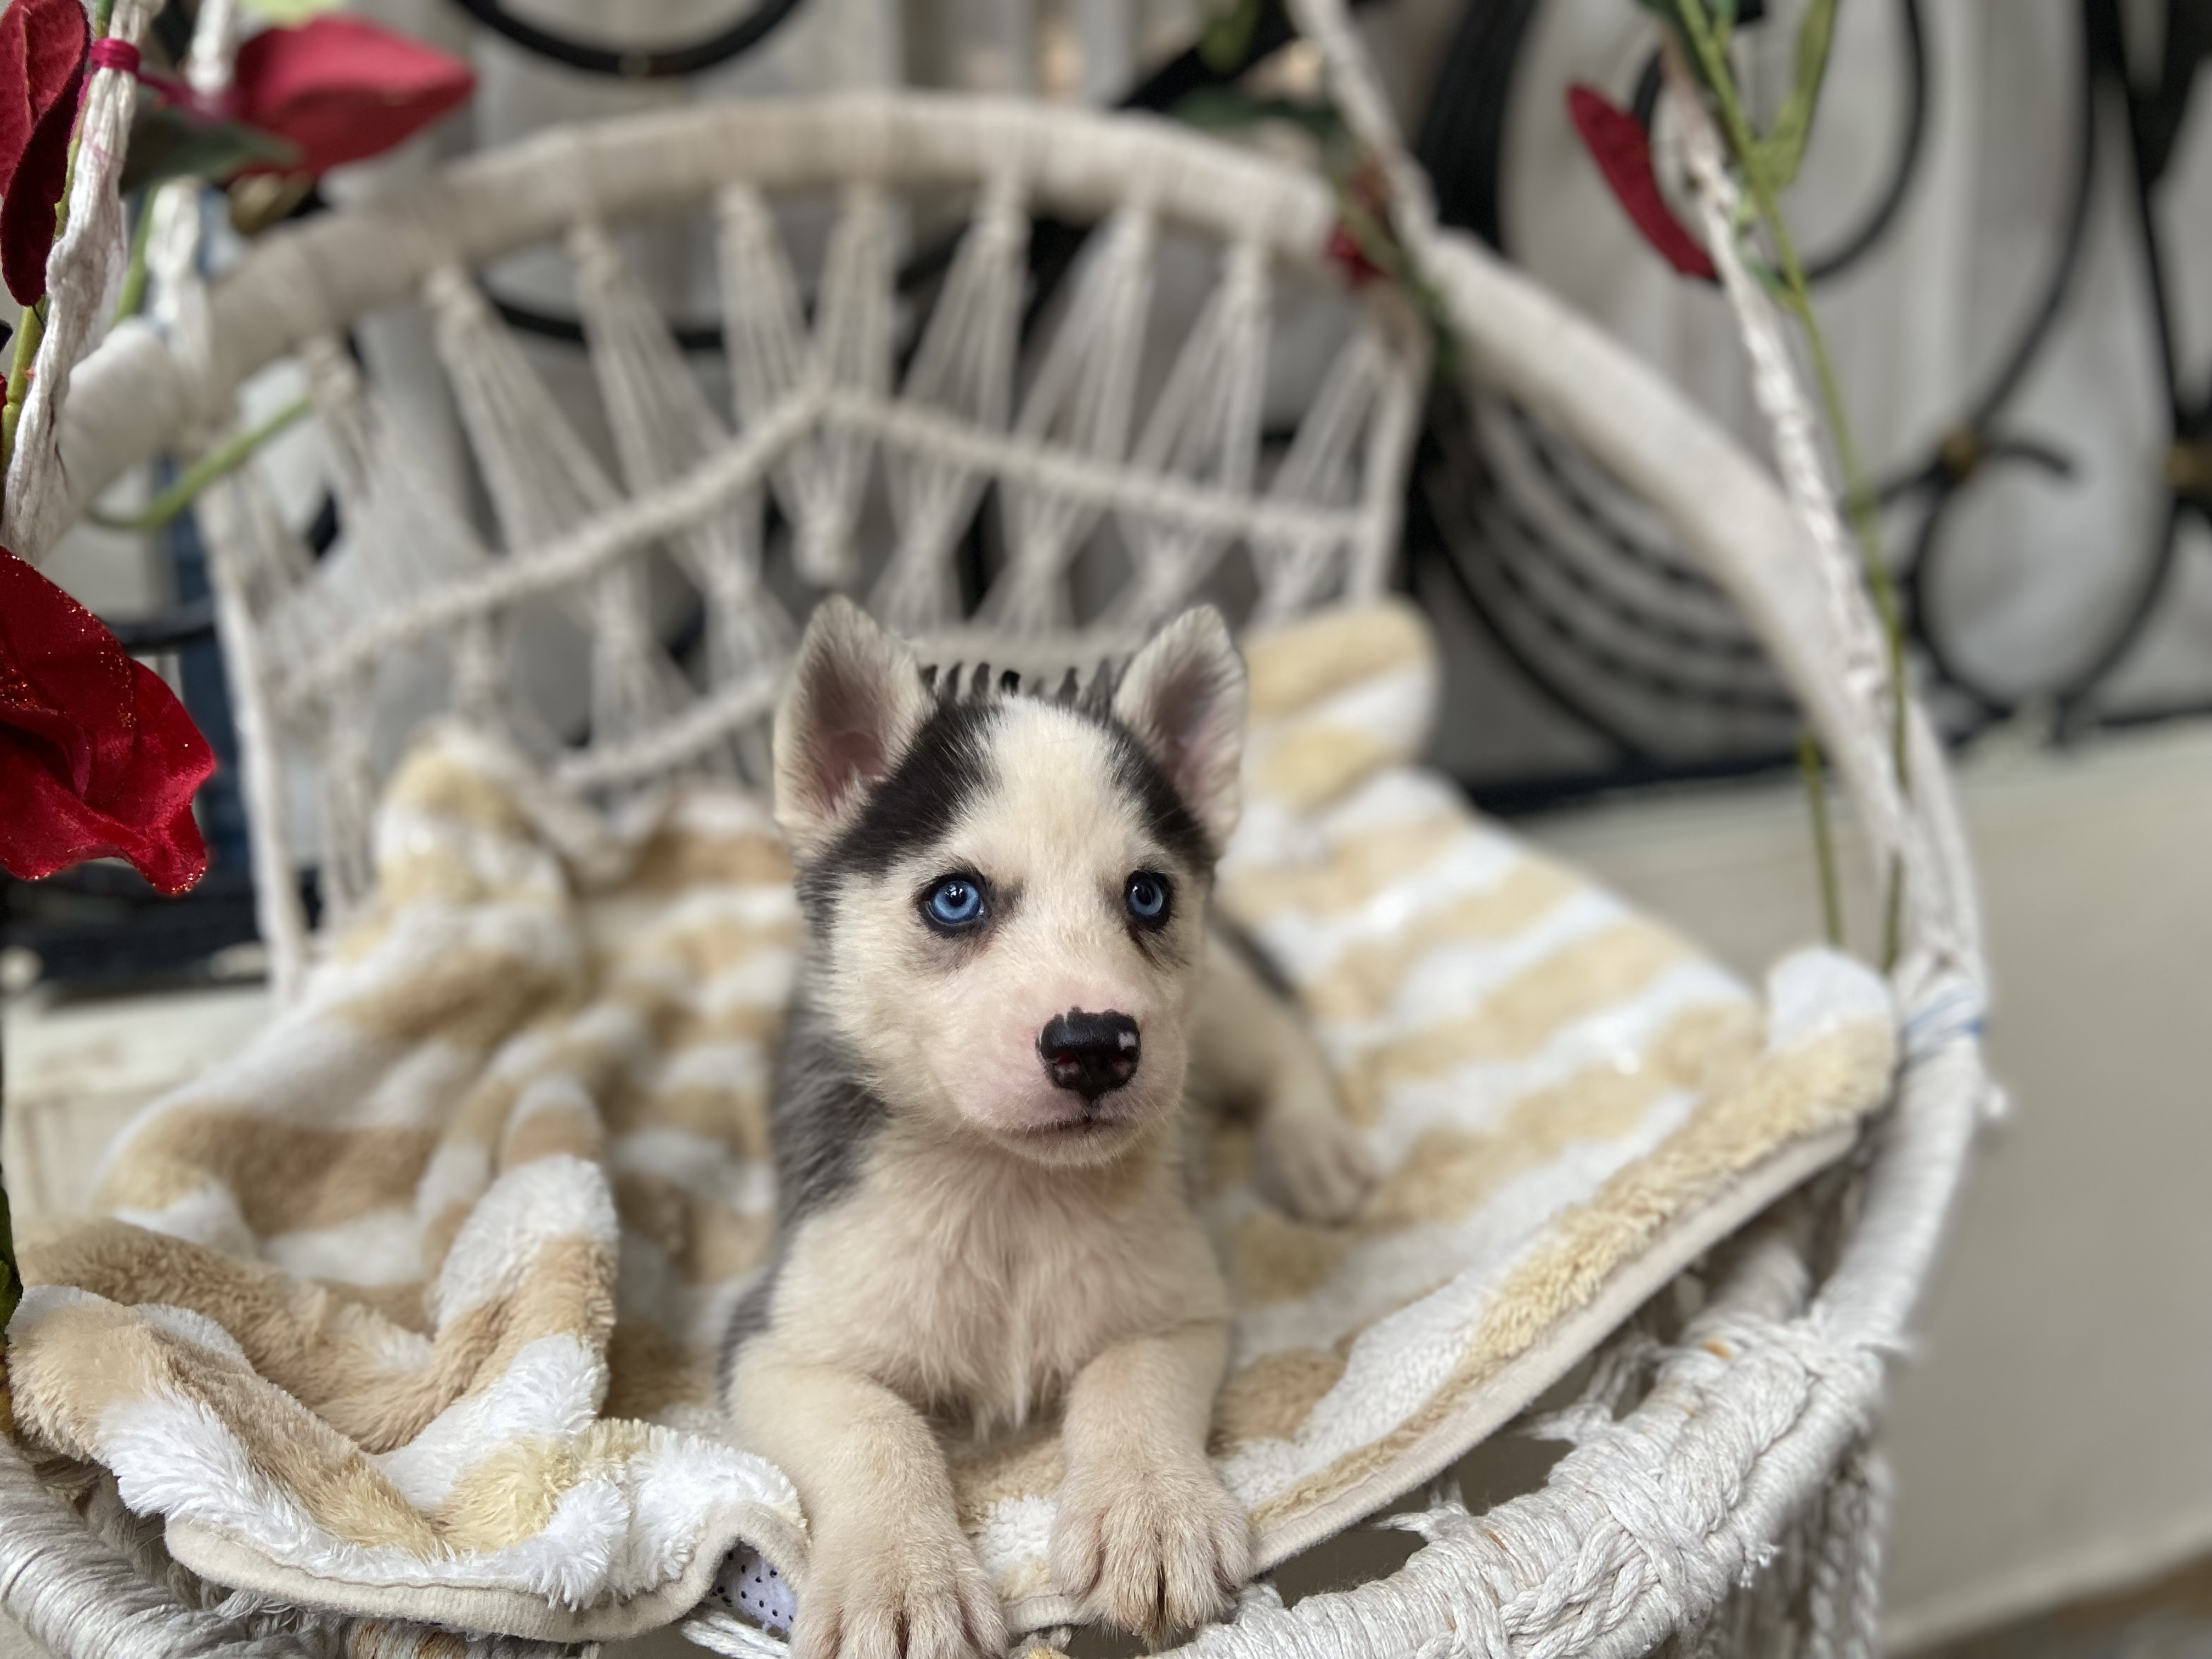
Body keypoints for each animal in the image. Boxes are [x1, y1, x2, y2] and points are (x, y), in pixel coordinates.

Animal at [725, 597, 1371, 1659]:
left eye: (1148, 893)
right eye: (956, 897)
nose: (1096, 1044)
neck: (1010, 1190)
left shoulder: (1180, 1300)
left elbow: (1130, 1374)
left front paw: (1153, 1508)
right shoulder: (773, 1344)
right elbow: (873, 1426)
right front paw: (899, 1576)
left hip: (1217, 1015)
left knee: (1284, 1040)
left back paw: (1314, 1147)